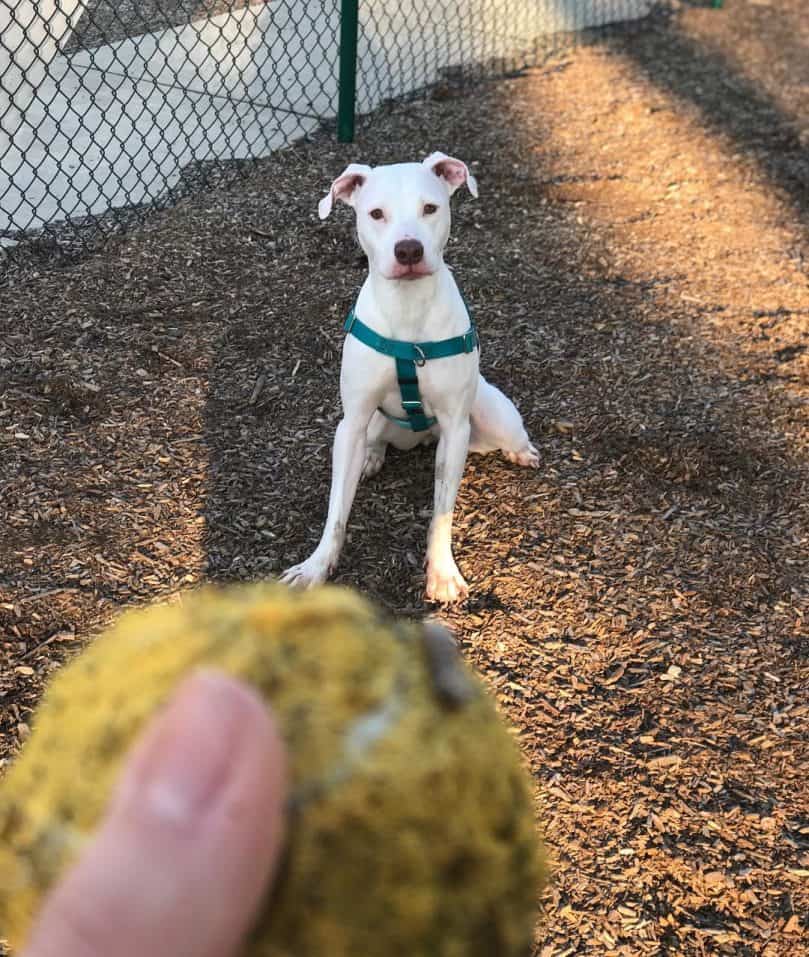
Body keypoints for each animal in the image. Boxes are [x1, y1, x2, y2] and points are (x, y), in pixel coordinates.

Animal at [280, 150, 540, 600]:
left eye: (430, 208)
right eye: (376, 213)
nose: (408, 250)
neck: (408, 310)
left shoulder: (455, 426)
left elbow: (442, 512)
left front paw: (443, 573)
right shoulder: (352, 422)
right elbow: (336, 511)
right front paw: (315, 566)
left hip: (491, 417)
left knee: (508, 436)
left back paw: (522, 452)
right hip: (371, 424)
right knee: (375, 443)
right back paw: (371, 457)